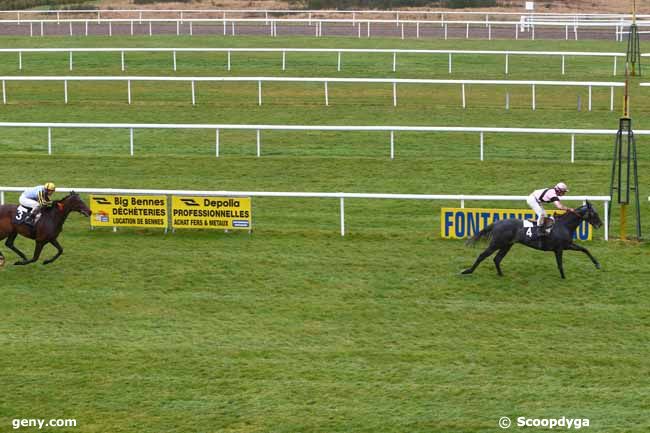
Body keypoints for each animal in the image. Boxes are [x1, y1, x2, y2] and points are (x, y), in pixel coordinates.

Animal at [460, 202, 604, 278]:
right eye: (594, 213)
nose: (600, 224)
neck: (564, 225)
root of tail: (496, 223)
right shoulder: (559, 248)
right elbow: (560, 264)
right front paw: (563, 277)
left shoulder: (567, 245)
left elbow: (585, 249)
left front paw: (597, 264)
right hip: (496, 243)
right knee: (482, 255)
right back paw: (468, 271)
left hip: (507, 245)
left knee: (497, 259)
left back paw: (501, 274)